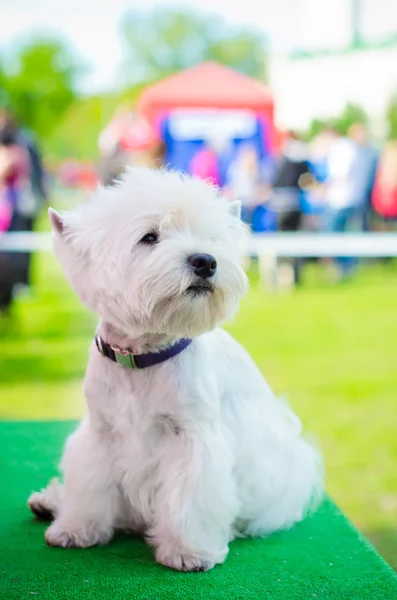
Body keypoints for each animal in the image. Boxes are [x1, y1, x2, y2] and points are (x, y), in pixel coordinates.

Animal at [27, 168, 322, 572]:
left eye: (210, 238)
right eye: (149, 237)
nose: (206, 261)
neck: (141, 356)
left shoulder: (192, 437)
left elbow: (190, 497)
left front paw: (189, 551)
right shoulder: (101, 432)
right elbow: (89, 481)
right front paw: (76, 528)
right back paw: (49, 503)